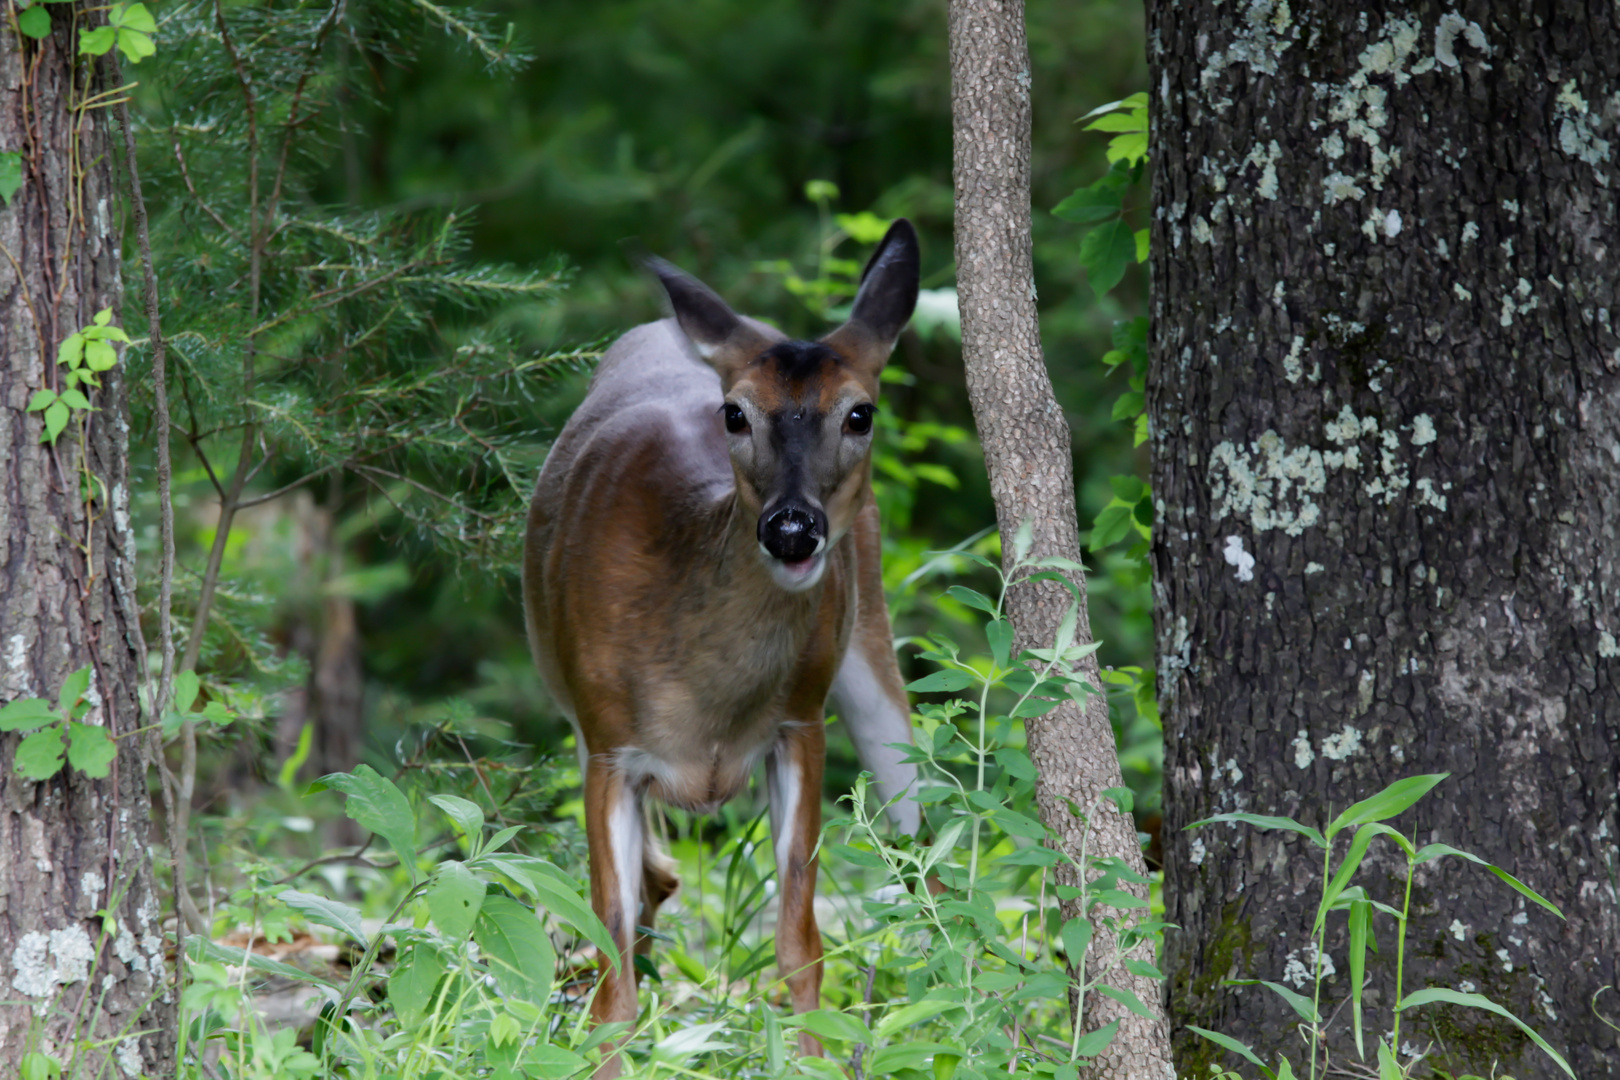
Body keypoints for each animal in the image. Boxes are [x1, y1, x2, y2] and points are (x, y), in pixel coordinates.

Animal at [518, 220, 926, 1062]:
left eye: (860, 413)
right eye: (734, 413)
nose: (793, 529)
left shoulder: (800, 723)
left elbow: (800, 944)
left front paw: (813, 1064)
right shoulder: (609, 744)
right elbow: (612, 965)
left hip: (866, 632)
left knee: (917, 841)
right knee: (655, 884)